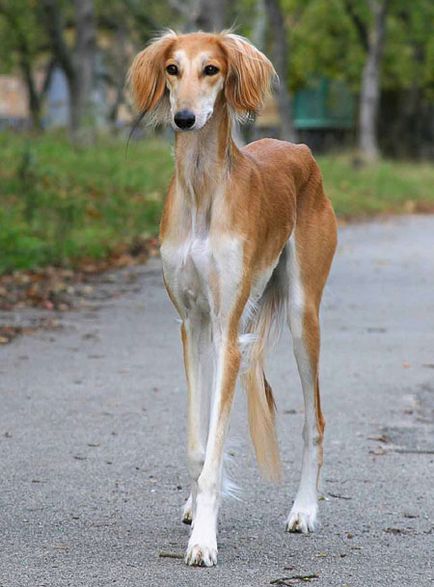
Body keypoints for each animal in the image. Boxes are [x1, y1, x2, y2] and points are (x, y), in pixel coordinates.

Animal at [131, 29, 338, 568]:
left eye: (212, 69)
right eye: (172, 69)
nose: (184, 118)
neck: (201, 188)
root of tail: (299, 147)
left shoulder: (226, 329)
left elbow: (216, 441)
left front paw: (204, 540)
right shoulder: (194, 325)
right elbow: (200, 443)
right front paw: (200, 507)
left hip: (303, 315)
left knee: (315, 422)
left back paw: (304, 510)